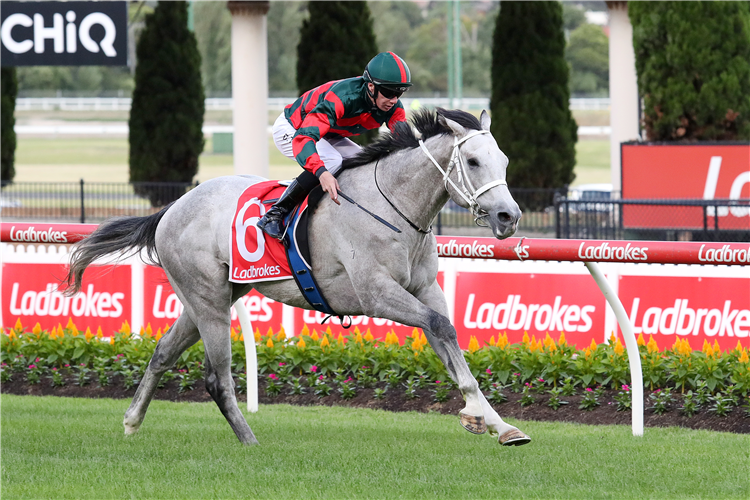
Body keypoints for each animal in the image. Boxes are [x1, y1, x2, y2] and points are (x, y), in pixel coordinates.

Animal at [67, 108, 532, 446]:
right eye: (472, 160)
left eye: (505, 161)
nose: (508, 216)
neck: (394, 206)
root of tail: (172, 208)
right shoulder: (376, 293)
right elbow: (439, 327)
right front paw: (476, 414)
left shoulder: (425, 290)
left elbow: (447, 337)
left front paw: (497, 423)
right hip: (208, 301)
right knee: (217, 378)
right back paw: (250, 442)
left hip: (211, 298)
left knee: (163, 352)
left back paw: (132, 421)